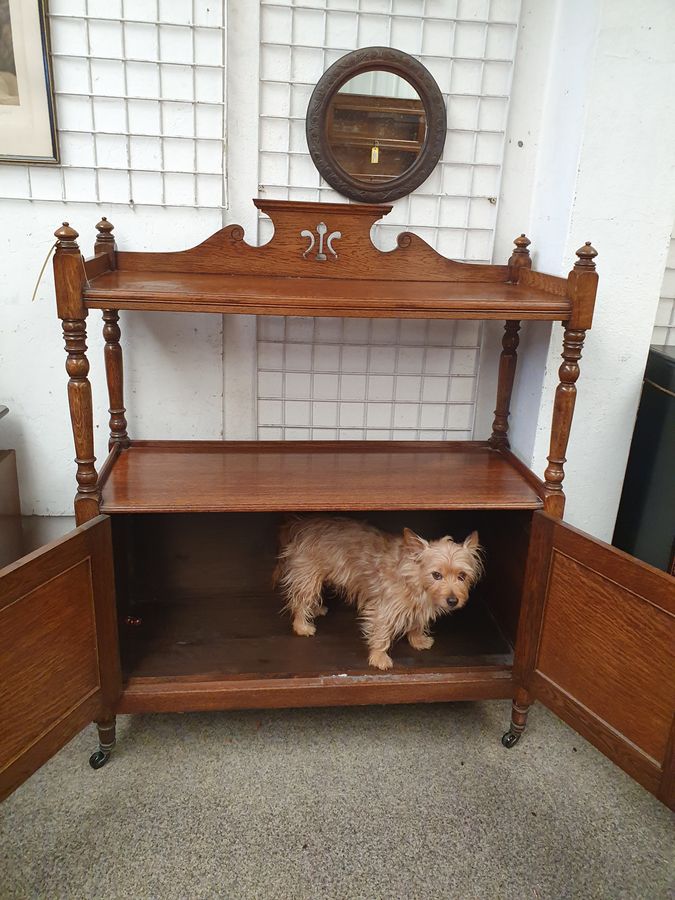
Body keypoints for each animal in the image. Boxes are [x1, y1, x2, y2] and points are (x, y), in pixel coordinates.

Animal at [272, 516, 484, 672]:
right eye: (436, 575)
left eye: (462, 576)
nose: (452, 600)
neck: (415, 580)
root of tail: (300, 524)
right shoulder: (384, 609)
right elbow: (381, 633)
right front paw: (379, 657)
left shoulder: (419, 607)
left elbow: (417, 623)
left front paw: (418, 640)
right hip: (308, 575)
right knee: (300, 600)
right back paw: (302, 626)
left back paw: (315, 610)